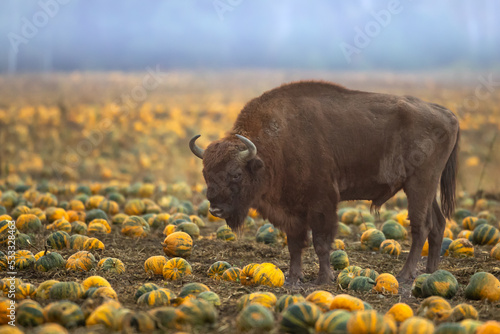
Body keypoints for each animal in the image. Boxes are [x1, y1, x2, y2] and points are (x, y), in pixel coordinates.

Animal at [189, 81, 458, 284]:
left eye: (236, 173)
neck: (274, 145)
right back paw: (430, 272)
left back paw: (405, 275)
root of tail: (448, 114)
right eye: (206, 173)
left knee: (421, 226)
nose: (216, 209)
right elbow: (295, 243)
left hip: (419, 184)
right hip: (426, 189)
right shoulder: (291, 210)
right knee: (437, 224)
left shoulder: (322, 203)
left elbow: (320, 242)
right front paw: (293, 278)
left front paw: (324, 279)